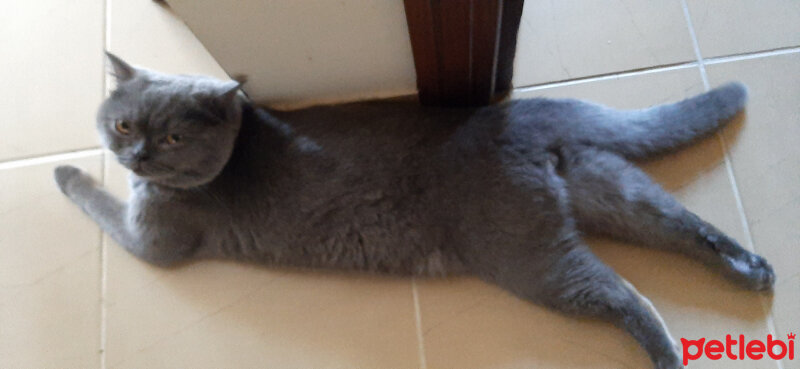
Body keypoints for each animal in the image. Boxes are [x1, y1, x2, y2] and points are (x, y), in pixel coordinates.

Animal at [56, 52, 776, 368]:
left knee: (627, 294)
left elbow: (97, 202)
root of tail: (515, 117)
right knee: (683, 226)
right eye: (123, 124)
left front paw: (68, 172)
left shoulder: (153, 240)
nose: (135, 155)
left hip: (528, 256)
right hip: (605, 187)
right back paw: (752, 269)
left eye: (174, 138)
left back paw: (669, 353)